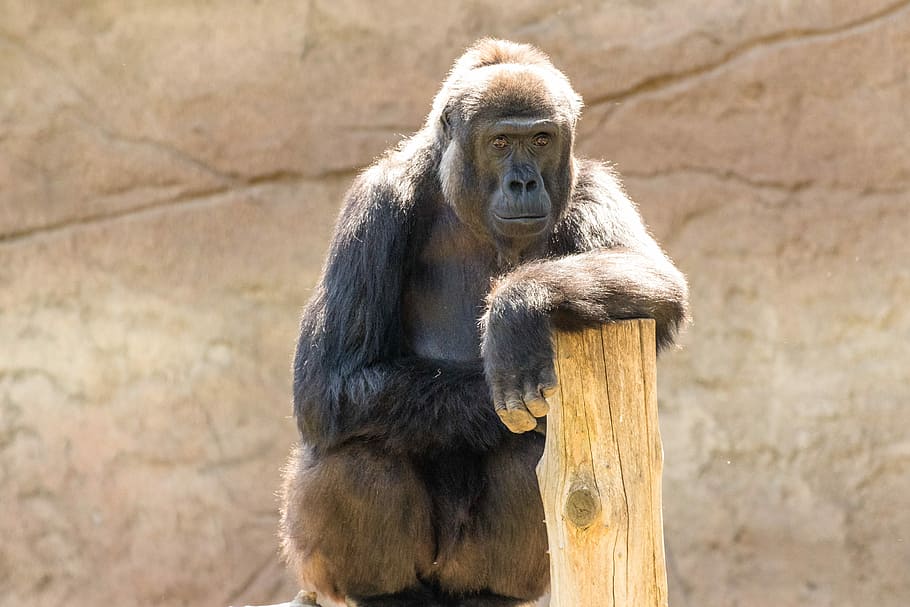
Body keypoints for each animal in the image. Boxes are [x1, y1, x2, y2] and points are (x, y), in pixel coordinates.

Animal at [280, 38, 688, 607]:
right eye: (499, 143)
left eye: (540, 140)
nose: (524, 181)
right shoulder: (376, 203)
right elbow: (329, 380)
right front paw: (500, 375)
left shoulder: (589, 184)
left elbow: (656, 283)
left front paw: (518, 308)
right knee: (358, 450)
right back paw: (386, 593)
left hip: (467, 567)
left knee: (530, 457)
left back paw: (491, 592)